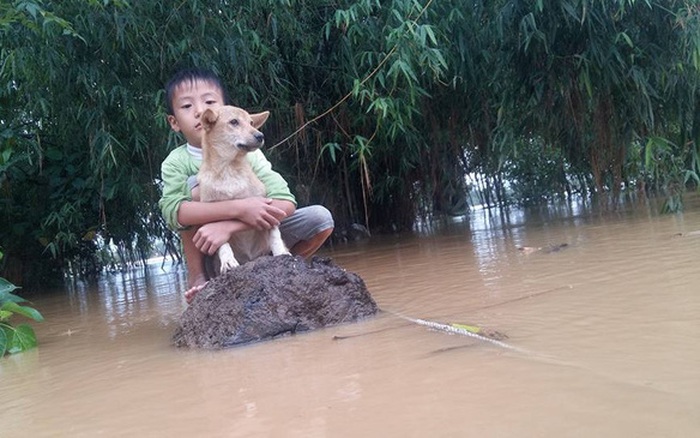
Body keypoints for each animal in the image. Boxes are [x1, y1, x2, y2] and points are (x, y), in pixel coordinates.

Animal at [200, 105, 290, 274]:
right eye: (234, 122)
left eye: (251, 123)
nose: (260, 135)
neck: (228, 170)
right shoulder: (211, 214)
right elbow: (222, 243)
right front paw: (228, 261)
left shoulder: (268, 207)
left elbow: (275, 235)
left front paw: (281, 253)